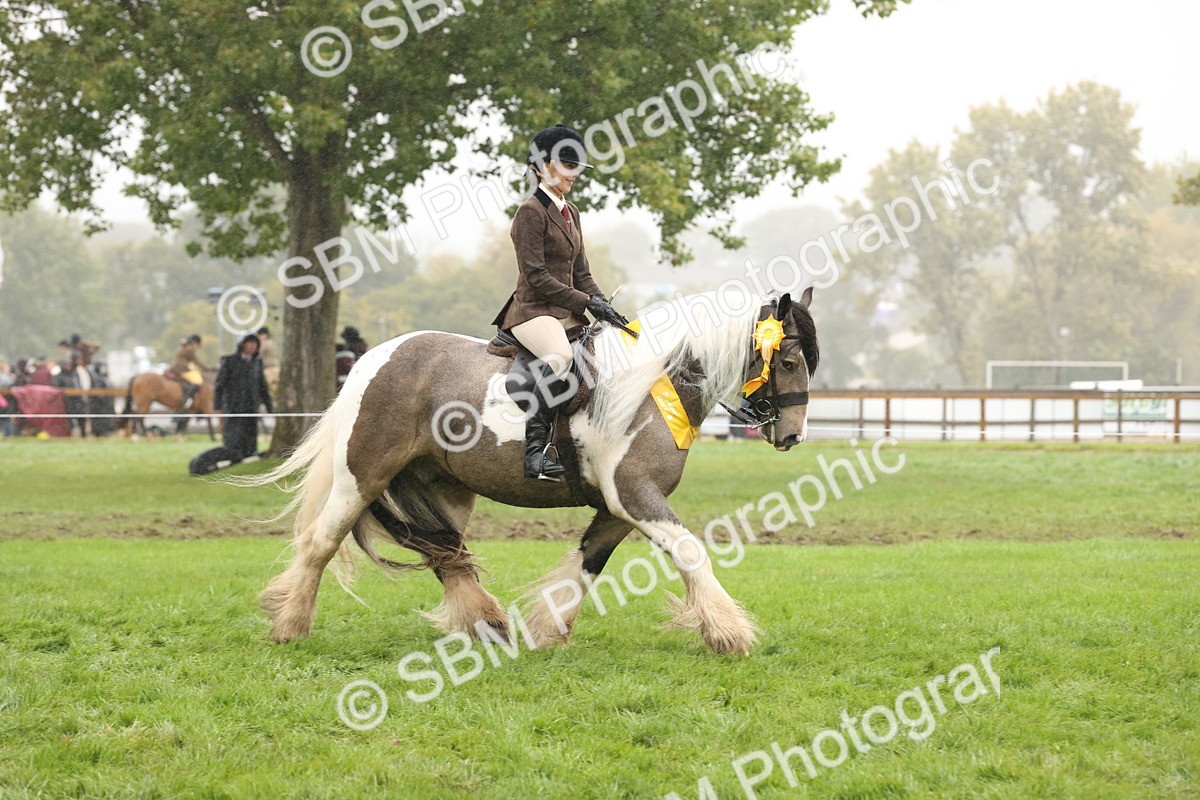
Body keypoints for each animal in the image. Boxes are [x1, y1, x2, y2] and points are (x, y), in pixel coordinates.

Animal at [244, 288, 818, 655]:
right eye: (789, 362)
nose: (791, 435)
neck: (655, 387)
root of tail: (372, 359)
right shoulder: (636, 496)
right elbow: (690, 552)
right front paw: (729, 633)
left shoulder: (617, 507)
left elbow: (587, 564)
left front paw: (549, 630)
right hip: (361, 476)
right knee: (322, 542)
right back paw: (290, 626)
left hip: (444, 488)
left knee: (446, 555)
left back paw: (489, 625)